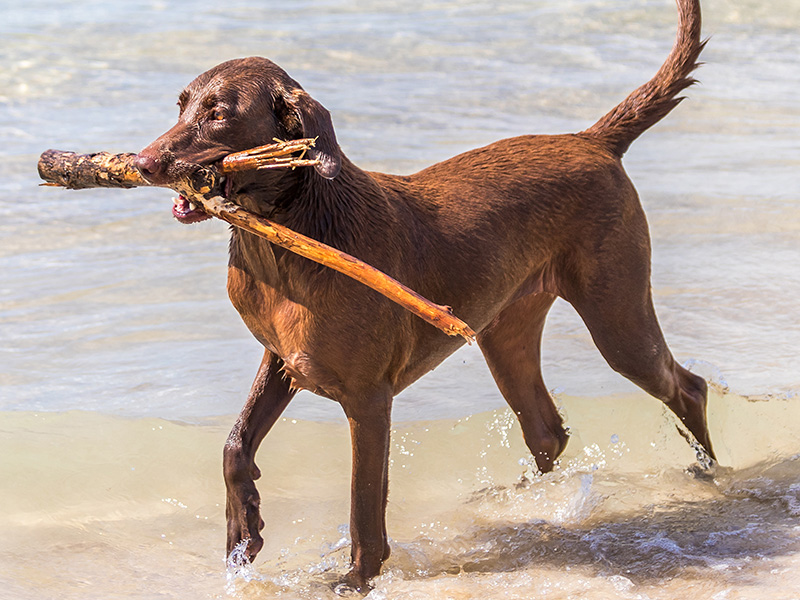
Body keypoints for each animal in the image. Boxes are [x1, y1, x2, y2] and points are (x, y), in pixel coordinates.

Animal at [136, 0, 712, 592]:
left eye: (219, 114)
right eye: (181, 106)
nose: (142, 162)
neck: (288, 233)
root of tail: (592, 139)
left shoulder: (369, 399)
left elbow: (363, 502)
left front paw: (356, 579)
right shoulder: (282, 357)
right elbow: (235, 445)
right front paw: (242, 532)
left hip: (617, 316)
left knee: (686, 387)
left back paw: (707, 476)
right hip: (505, 333)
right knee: (547, 431)